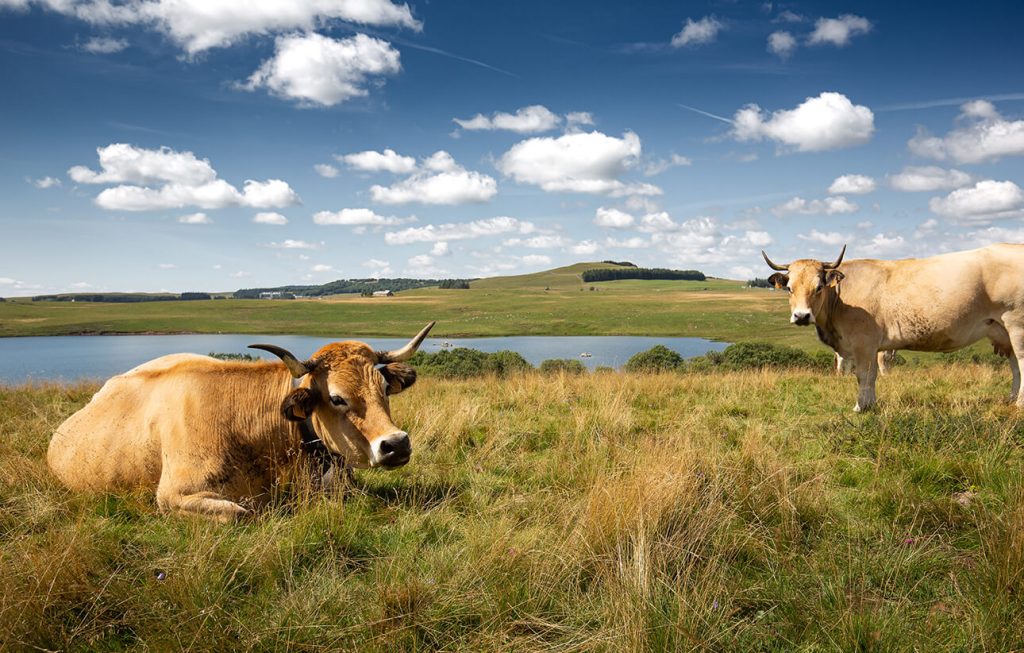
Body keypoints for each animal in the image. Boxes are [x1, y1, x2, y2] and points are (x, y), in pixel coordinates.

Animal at [761, 243, 1024, 411]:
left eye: (818, 287)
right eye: (789, 288)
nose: (801, 315)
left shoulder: (863, 343)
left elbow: (863, 375)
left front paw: (861, 407)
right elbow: (871, 376)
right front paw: (871, 404)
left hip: (1017, 325)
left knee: (1021, 362)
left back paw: (1019, 404)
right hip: (1003, 330)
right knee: (1014, 366)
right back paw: (1011, 400)